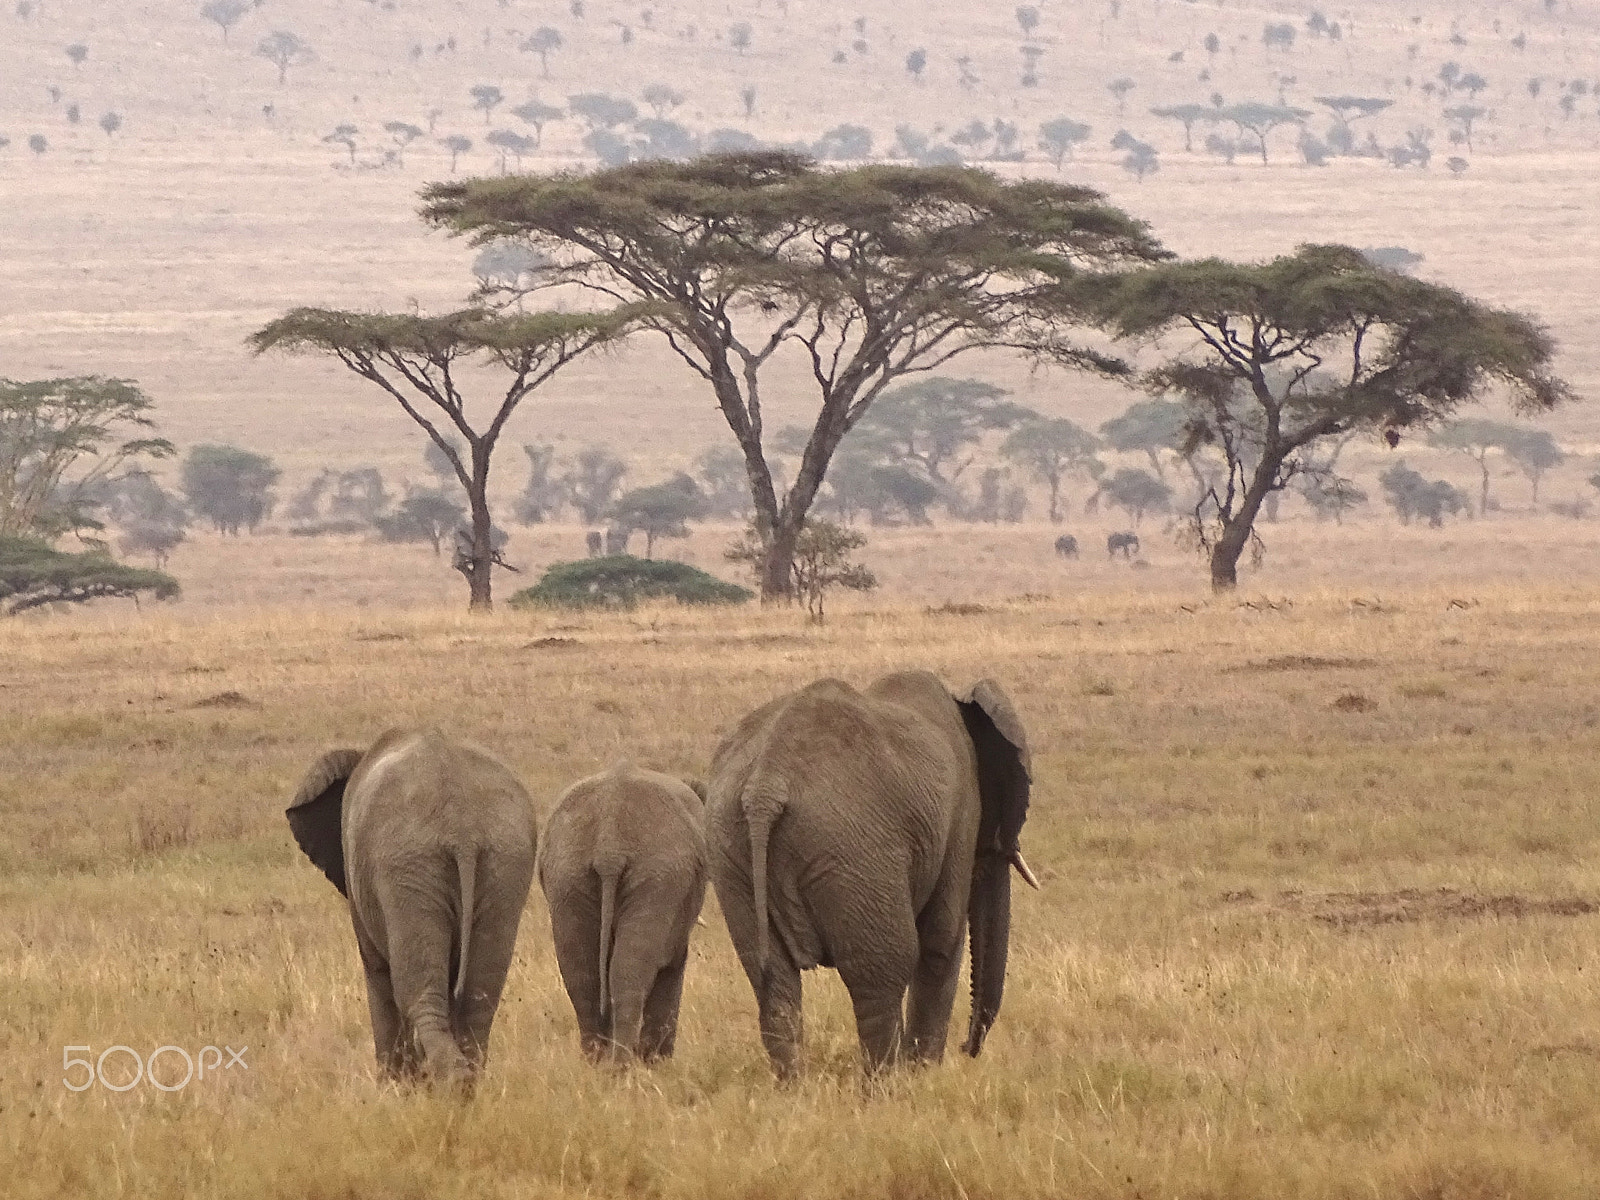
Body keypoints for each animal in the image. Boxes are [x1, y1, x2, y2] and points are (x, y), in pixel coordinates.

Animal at [286, 723, 537, 1088]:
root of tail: (462, 824)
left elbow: (377, 973)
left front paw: (394, 1087)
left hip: (408, 865)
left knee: (417, 994)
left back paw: (449, 1084)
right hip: (504, 860)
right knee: (479, 995)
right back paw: (468, 1085)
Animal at [537, 764, 707, 1068]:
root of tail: (610, 843)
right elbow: (673, 966)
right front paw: (657, 1062)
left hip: (567, 873)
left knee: (581, 973)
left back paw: (596, 1063)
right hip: (659, 876)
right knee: (630, 970)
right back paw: (621, 1067)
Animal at [704, 668, 1030, 1081]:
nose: (967, 1048)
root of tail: (765, 785)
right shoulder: (962, 812)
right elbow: (941, 941)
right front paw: (925, 1075)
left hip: (730, 848)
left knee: (774, 983)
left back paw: (796, 1088)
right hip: (852, 850)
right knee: (882, 975)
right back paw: (888, 1084)